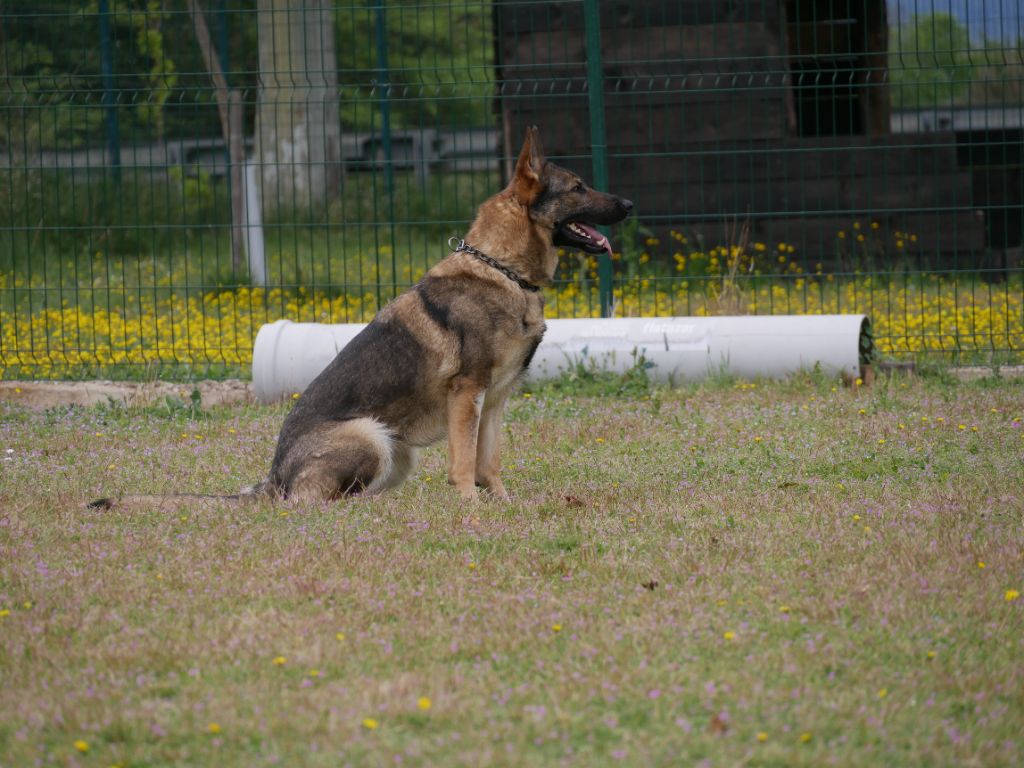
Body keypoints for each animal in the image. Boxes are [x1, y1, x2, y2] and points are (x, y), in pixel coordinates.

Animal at [90, 128, 630, 512]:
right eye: (579, 187)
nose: (628, 203)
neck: (503, 270)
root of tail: (273, 478)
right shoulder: (467, 395)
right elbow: (462, 464)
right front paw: (470, 509)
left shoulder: (494, 400)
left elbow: (488, 463)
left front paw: (501, 505)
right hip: (371, 437)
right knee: (310, 505)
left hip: (397, 453)